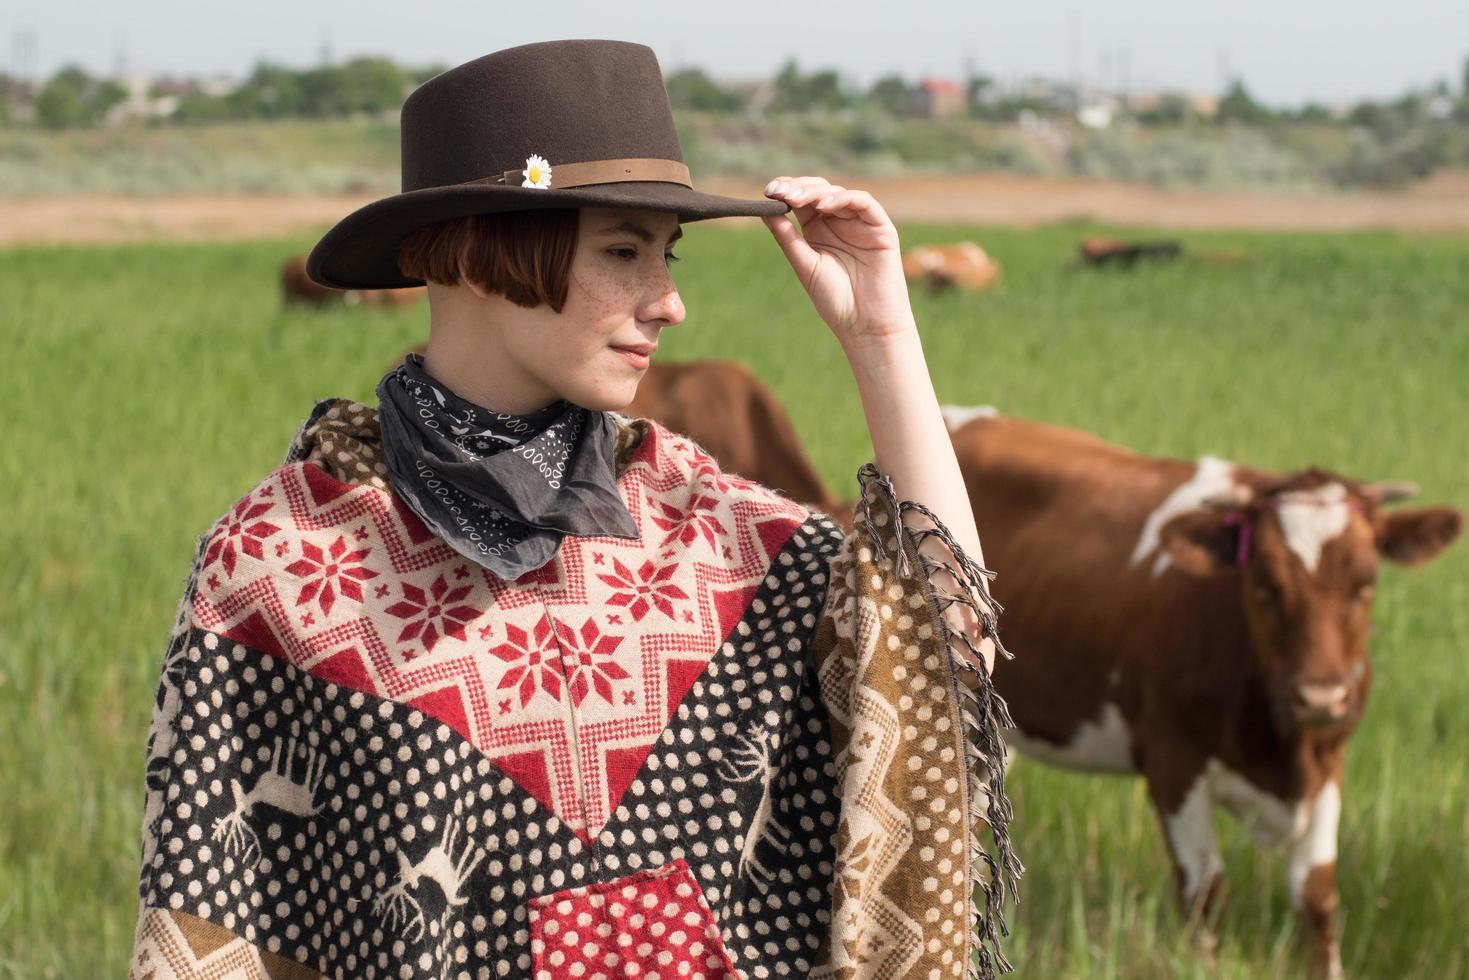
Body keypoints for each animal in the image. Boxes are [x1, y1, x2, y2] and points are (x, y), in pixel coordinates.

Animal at [946, 405, 1463, 975]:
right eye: (1264, 582)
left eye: (1365, 582)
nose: (1321, 698)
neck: (1283, 749)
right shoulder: (1173, 762)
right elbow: (1204, 893)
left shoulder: (1329, 764)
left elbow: (1318, 900)